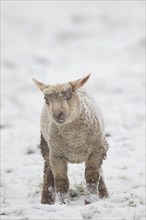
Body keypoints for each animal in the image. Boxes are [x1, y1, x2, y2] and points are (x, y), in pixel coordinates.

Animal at [32, 74, 109, 205]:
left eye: (68, 95)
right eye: (46, 99)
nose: (58, 114)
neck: (74, 141)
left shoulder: (97, 150)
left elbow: (92, 175)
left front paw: (90, 201)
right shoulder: (57, 155)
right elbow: (61, 181)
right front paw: (62, 204)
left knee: (100, 171)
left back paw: (104, 195)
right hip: (46, 144)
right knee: (48, 171)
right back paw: (46, 200)